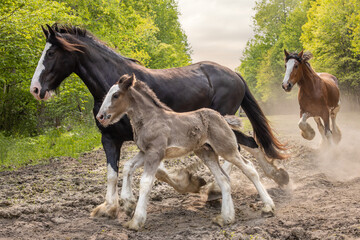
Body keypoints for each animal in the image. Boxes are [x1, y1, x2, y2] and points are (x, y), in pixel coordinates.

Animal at [97, 74, 274, 231]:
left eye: (116, 95)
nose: (100, 116)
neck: (150, 119)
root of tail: (222, 118)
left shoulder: (155, 152)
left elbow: (145, 182)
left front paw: (136, 221)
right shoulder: (145, 152)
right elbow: (127, 166)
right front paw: (127, 204)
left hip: (226, 149)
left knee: (249, 168)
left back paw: (268, 206)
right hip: (207, 153)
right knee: (224, 179)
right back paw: (226, 218)